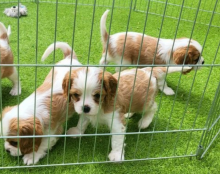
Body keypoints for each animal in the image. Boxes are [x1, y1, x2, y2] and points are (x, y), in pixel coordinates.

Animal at [62, 64, 192, 161]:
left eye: (98, 95)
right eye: (76, 95)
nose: (85, 108)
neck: (101, 106)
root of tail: (148, 70)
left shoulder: (116, 122)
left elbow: (117, 140)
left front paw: (117, 154)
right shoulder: (86, 113)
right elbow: (82, 122)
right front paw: (77, 131)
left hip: (144, 102)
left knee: (153, 107)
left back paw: (145, 121)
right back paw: (129, 114)